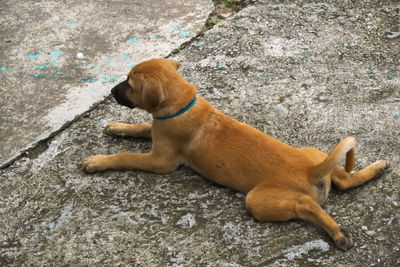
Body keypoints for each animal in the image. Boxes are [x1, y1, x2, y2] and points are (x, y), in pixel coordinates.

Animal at [83, 58, 390, 251]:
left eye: (129, 84)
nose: (111, 90)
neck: (182, 103)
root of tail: (311, 171)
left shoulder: (161, 161)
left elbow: (125, 156)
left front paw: (97, 161)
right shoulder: (158, 132)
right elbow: (140, 127)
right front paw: (117, 126)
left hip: (258, 200)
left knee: (306, 206)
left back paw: (338, 233)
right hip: (312, 152)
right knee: (345, 179)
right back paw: (379, 166)